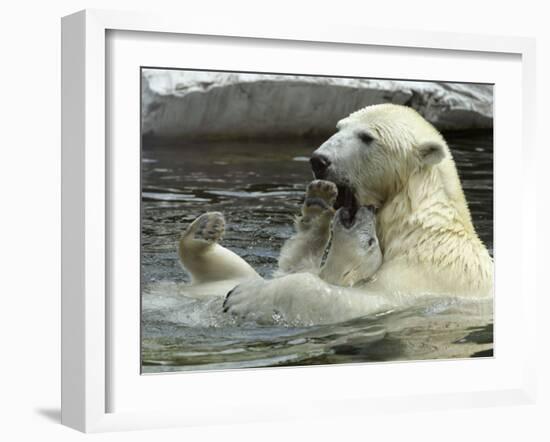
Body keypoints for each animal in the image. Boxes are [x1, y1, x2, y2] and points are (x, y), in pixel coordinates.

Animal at [201, 103, 494, 324]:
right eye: (339, 127)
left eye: (367, 137)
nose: (318, 160)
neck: (416, 225)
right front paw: (317, 206)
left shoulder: (424, 277)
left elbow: (357, 300)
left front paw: (244, 296)